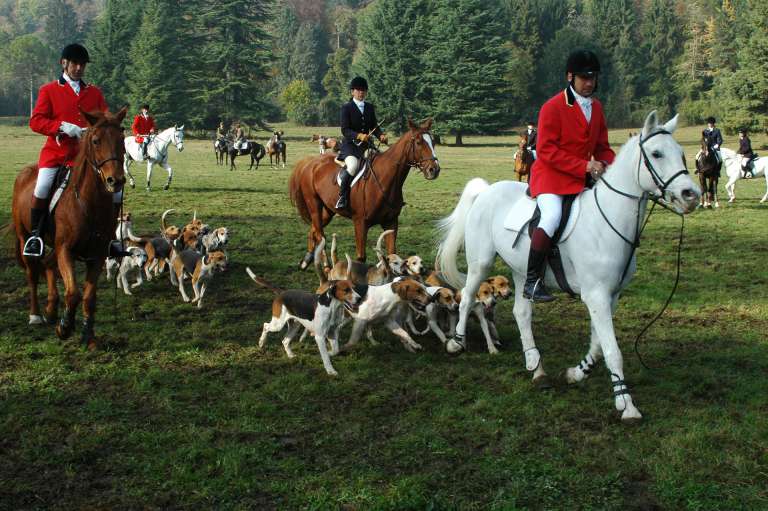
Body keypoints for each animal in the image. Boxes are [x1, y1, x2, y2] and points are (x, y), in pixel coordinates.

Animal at [11, 107, 128, 349]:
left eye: (122, 139)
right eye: (95, 140)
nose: (115, 181)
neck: (89, 203)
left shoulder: (97, 254)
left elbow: (89, 298)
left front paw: (88, 336)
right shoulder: (65, 250)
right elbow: (73, 292)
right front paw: (65, 327)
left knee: (47, 264)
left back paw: (50, 310)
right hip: (25, 236)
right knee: (32, 273)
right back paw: (36, 314)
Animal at [290, 118, 441, 267]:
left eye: (433, 142)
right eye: (418, 142)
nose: (434, 170)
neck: (384, 180)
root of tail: (310, 162)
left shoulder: (391, 222)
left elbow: (392, 253)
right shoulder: (360, 223)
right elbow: (361, 257)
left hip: (328, 210)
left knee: (314, 230)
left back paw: (307, 259)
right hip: (314, 204)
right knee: (320, 235)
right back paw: (326, 265)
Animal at [435, 111, 700, 423]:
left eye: (681, 154)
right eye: (657, 154)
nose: (691, 194)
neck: (607, 221)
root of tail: (488, 190)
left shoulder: (610, 296)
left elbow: (598, 345)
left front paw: (577, 373)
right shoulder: (596, 296)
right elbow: (612, 350)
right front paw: (626, 403)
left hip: (523, 272)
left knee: (521, 313)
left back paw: (536, 367)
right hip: (481, 263)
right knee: (467, 298)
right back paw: (457, 342)